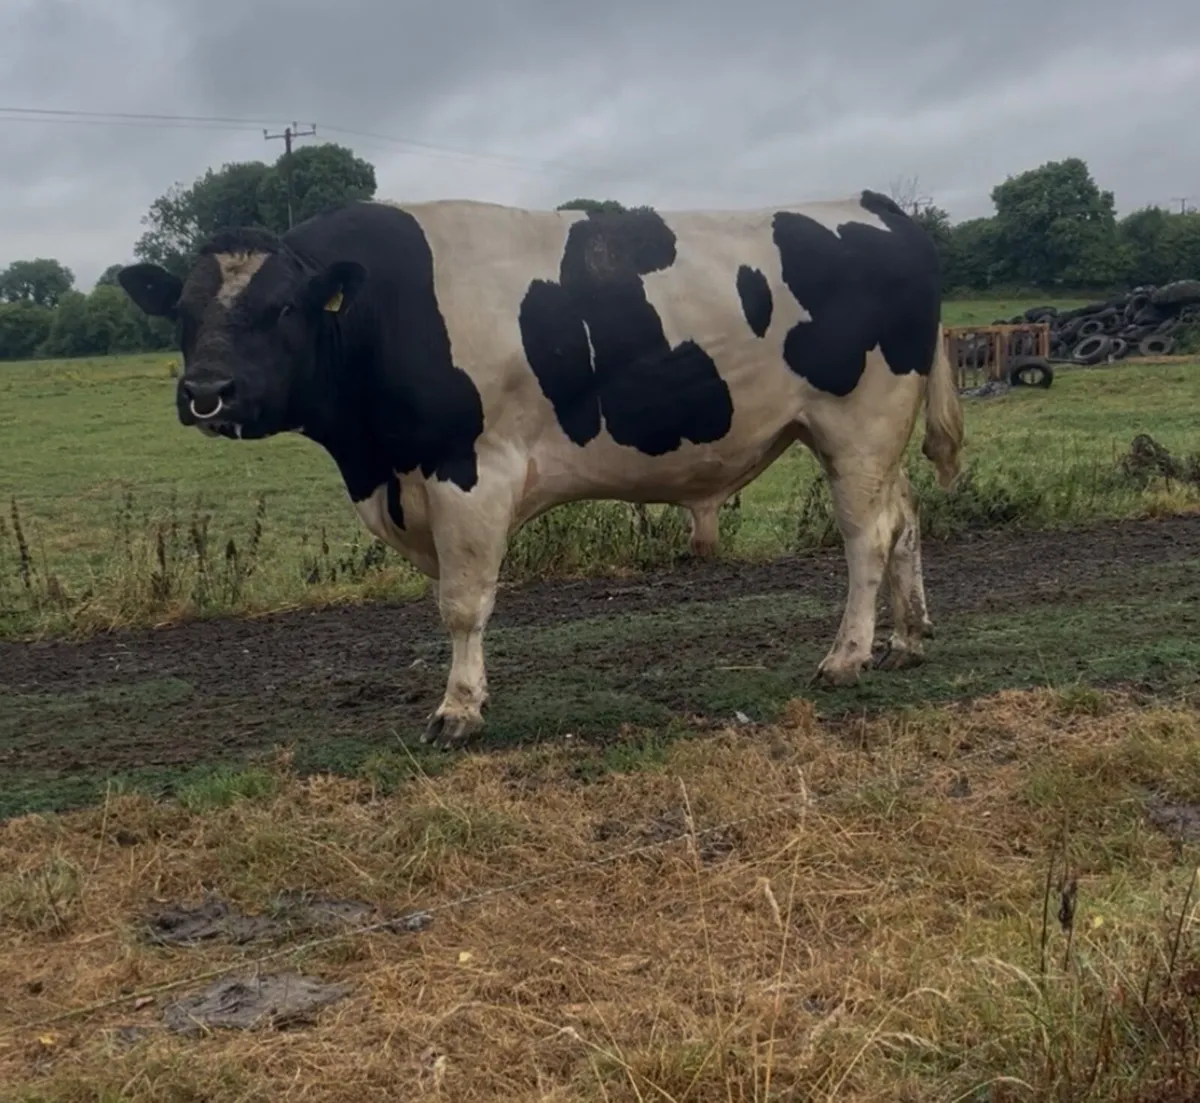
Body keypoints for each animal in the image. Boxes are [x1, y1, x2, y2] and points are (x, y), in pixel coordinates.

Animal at [117, 192, 964, 749]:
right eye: (183, 312)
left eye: (284, 308)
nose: (206, 392)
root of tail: (873, 204)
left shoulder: (469, 472)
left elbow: (462, 603)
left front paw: (459, 707)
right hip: (865, 435)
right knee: (904, 518)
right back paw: (908, 638)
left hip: (858, 421)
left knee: (866, 536)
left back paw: (847, 656)